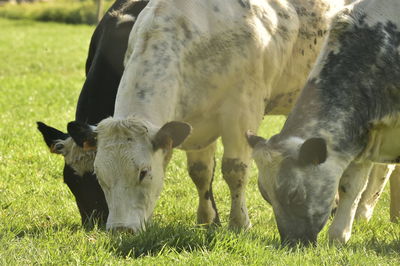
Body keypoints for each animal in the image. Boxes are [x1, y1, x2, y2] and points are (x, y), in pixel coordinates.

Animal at [66, 0, 346, 232]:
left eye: (143, 172)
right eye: (100, 176)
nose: (120, 229)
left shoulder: (243, 110)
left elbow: (234, 169)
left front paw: (239, 223)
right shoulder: (195, 122)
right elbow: (200, 172)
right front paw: (206, 219)